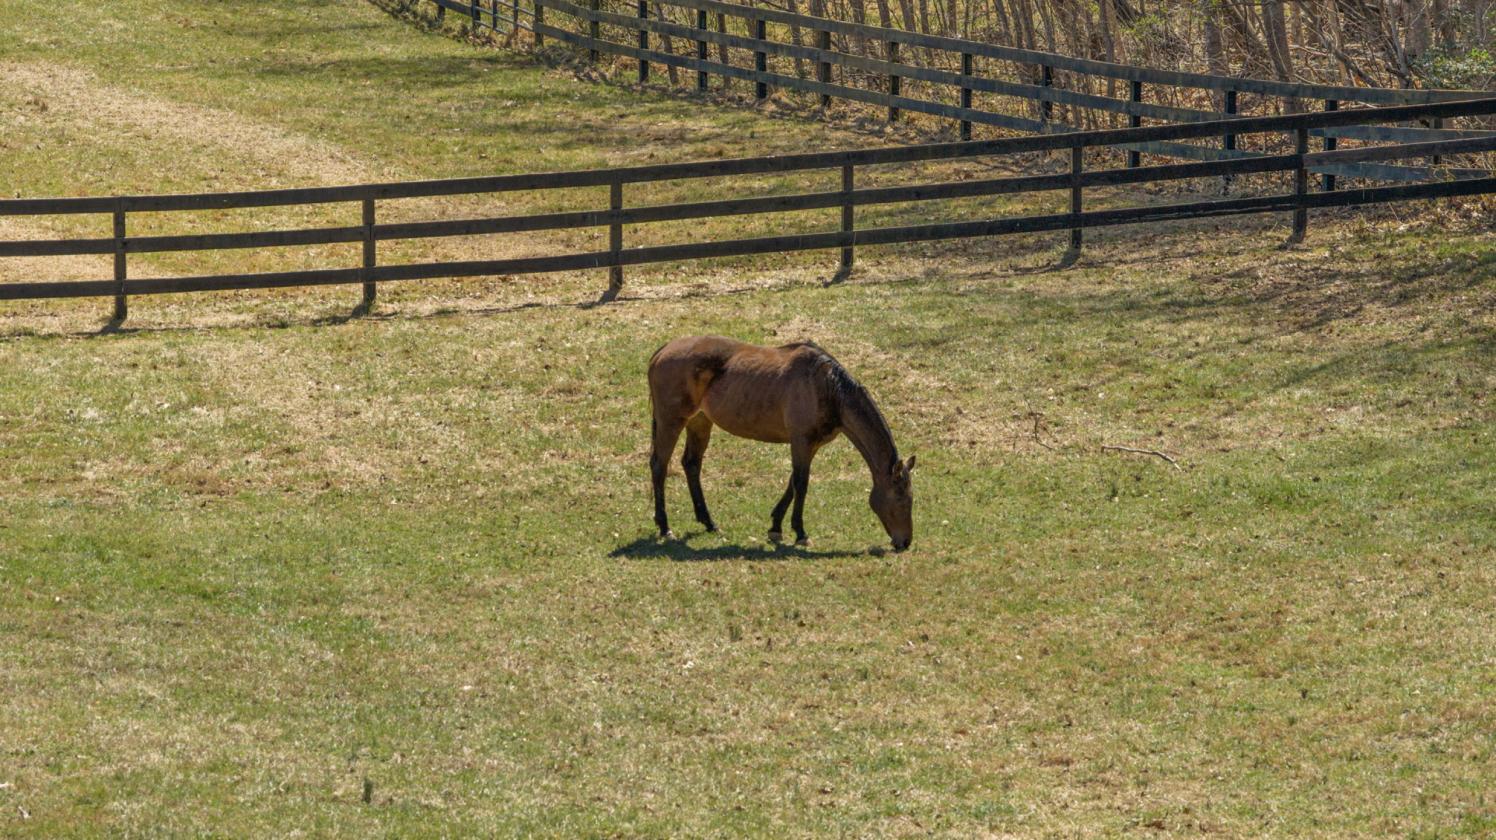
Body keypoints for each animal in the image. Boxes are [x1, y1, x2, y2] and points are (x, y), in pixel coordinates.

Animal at [646, 335, 915, 552]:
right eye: (901, 498)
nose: (905, 542)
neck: (827, 387)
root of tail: (662, 351)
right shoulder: (801, 441)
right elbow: (801, 484)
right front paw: (800, 533)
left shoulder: (810, 445)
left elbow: (792, 483)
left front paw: (776, 527)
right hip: (671, 421)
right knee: (660, 465)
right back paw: (665, 527)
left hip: (700, 421)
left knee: (691, 464)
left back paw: (709, 523)